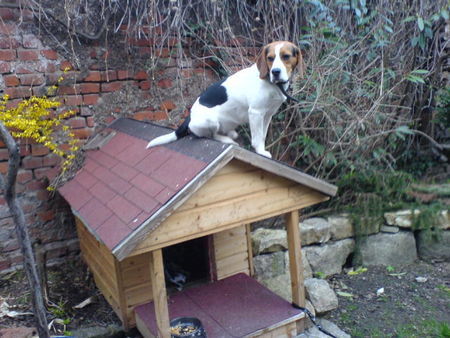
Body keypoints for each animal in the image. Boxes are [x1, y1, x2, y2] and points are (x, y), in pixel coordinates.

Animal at [146, 41, 304, 158]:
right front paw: (260, 151)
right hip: (210, 120)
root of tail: (189, 117)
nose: (275, 72)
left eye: (286, 56)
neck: (273, 84)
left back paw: (231, 133)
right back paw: (227, 139)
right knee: (209, 135)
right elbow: (257, 137)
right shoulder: (256, 113)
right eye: (270, 58)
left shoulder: (267, 115)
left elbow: (263, 136)